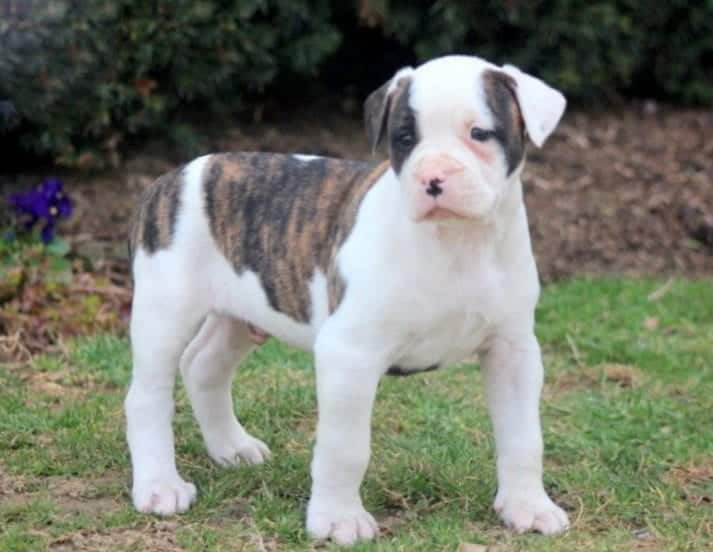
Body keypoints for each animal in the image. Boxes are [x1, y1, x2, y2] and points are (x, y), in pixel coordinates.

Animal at [124, 54, 568, 544]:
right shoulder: (350, 354)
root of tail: (174, 175)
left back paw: (232, 448)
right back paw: (160, 486)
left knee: (205, 365)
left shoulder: (513, 351)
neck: (455, 241)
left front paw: (528, 507)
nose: (432, 178)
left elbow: (523, 437)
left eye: (479, 133)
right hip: (165, 310)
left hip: (242, 311)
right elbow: (345, 446)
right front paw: (338, 519)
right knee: (147, 396)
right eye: (404, 138)